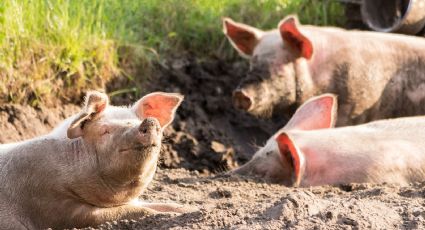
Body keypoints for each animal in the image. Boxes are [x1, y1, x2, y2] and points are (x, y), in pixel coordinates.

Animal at [0, 90, 189, 229]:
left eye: (136, 120)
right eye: (105, 131)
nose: (149, 121)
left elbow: (159, 204)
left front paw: (187, 209)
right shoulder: (52, 204)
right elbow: (130, 211)